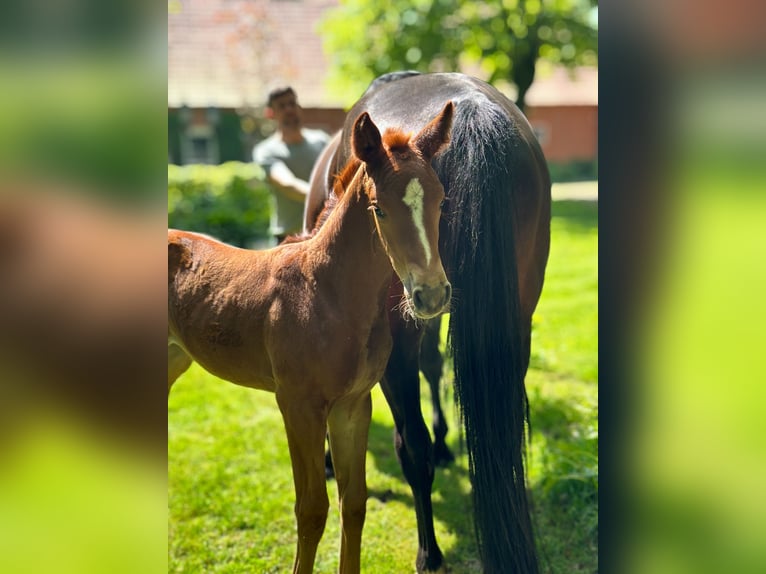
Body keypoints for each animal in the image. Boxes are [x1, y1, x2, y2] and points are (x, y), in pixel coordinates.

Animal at [169, 104, 456, 574]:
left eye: (440, 200)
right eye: (379, 209)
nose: (431, 294)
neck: (327, 292)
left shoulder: (353, 405)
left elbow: (353, 503)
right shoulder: (298, 406)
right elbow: (311, 509)